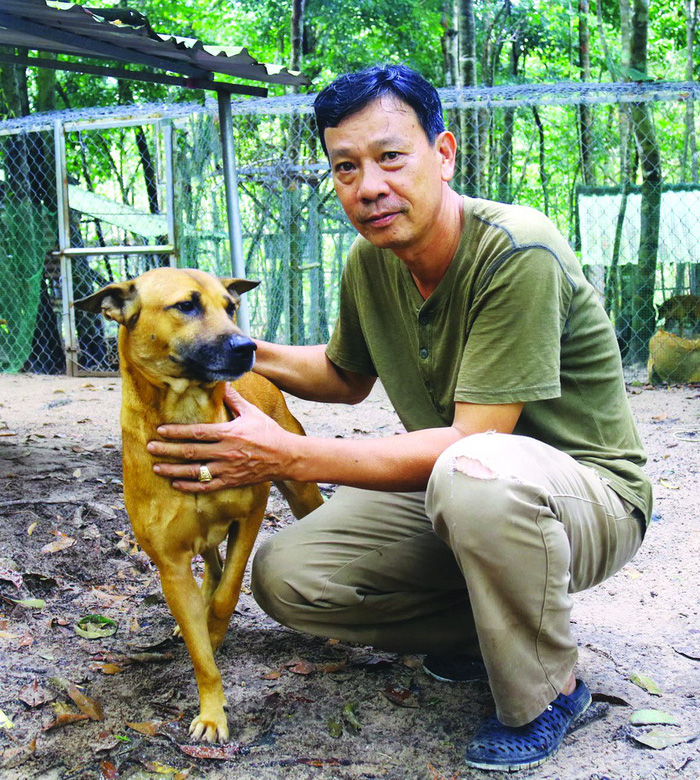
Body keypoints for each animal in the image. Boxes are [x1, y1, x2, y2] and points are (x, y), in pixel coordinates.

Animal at [74, 268, 322, 744]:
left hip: (302, 494)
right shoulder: (170, 564)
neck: (189, 417)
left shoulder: (250, 517)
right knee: (210, 564)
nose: (247, 347)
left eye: (230, 306)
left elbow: (228, 594)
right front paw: (211, 711)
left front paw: (214, 627)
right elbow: (200, 652)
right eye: (186, 305)